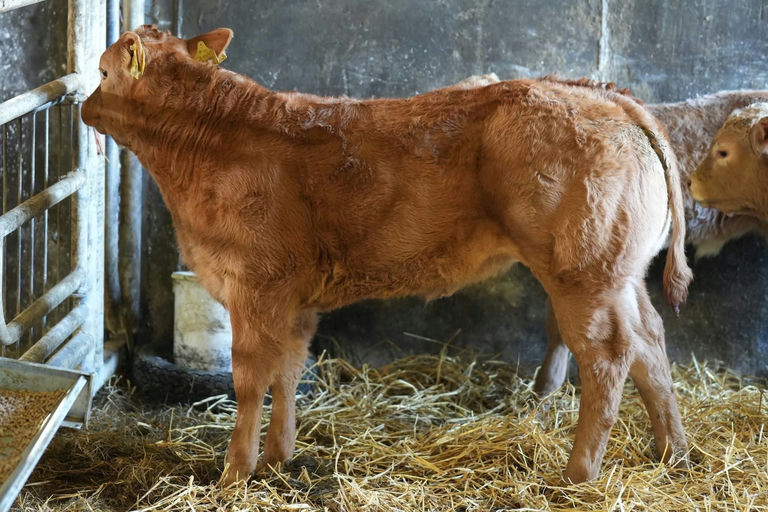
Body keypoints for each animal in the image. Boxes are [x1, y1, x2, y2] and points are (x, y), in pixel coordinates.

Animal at [81, 25, 693, 484]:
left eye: (103, 72)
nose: (84, 107)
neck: (210, 139)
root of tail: (602, 92)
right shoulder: (294, 298)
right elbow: (288, 371)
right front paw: (279, 457)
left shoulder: (255, 283)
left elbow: (251, 379)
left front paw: (235, 472)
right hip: (620, 273)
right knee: (651, 343)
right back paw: (675, 454)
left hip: (582, 271)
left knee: (609, 354)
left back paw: (578, 474)